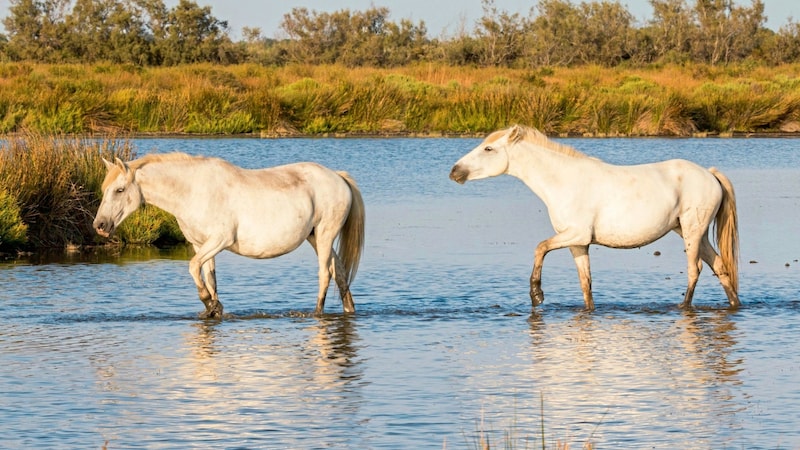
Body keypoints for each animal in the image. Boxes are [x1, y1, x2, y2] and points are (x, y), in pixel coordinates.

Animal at [94, 153, 366, 318]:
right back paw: (349, 310)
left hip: (325, 235)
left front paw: (210, 304)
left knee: (325, 275)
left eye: (119, 190)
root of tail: (338, 177)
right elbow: (209, 278)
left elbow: (193, 268)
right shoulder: (200, 245)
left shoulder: (219, 241)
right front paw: (213, 309)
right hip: (315, 237)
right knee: (340, 273)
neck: (193, 191)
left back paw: (317, 313)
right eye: (105, 189)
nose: (100, 225)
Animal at [446, 125, 740, 312]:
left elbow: (540, 247)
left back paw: (683, 306)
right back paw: (735, 304)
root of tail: (709, 174)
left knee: (695, 270)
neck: (562, 181)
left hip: (692, 231)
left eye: (488, 149)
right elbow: (585, 284)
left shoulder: (575, 234)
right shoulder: (578, 244)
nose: (454, 171)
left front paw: (536, 295)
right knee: (720, 267)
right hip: (692, 233)